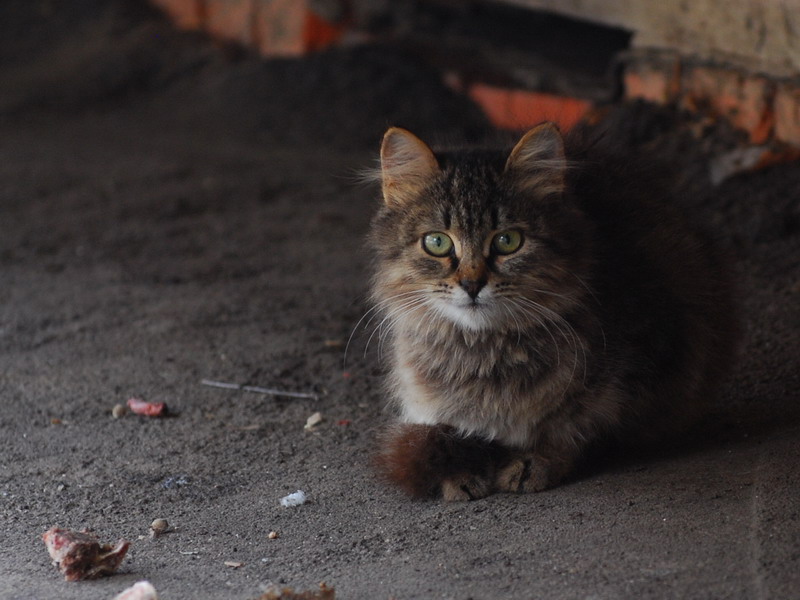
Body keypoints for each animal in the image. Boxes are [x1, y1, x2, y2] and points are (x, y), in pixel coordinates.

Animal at [368, 122, 736, 502]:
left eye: (507, 241)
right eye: (437, 243)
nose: (472, 284)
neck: (485, 357)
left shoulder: (641, 373)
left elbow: (571, 432)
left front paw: (535, 460)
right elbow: (445, 434)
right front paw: (457, 472)